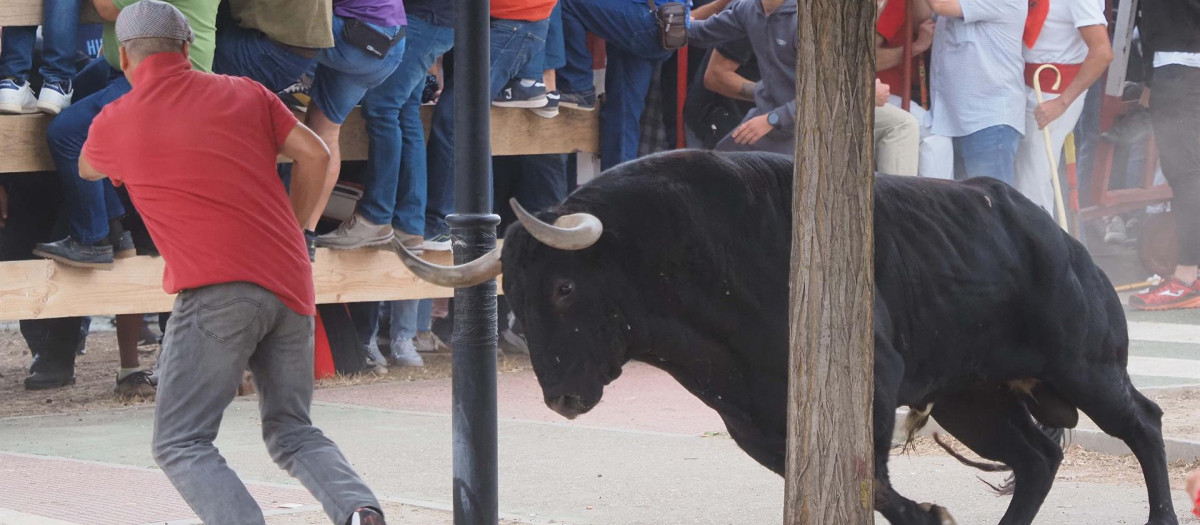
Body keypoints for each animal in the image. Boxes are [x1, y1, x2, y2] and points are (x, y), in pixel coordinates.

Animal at [403, 149, 1171, 522]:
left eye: (564, 288)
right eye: (512, 296)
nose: (560, 396)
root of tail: (1060, 238)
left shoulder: (871, 386)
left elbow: (875, 483)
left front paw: (931, 512)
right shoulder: (756, 424)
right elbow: (877, 492)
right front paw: (931, 513)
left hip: (1086, 366)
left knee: (1144, 422)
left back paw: (1161, 516)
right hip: (973, 398)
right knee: (1039, 457)